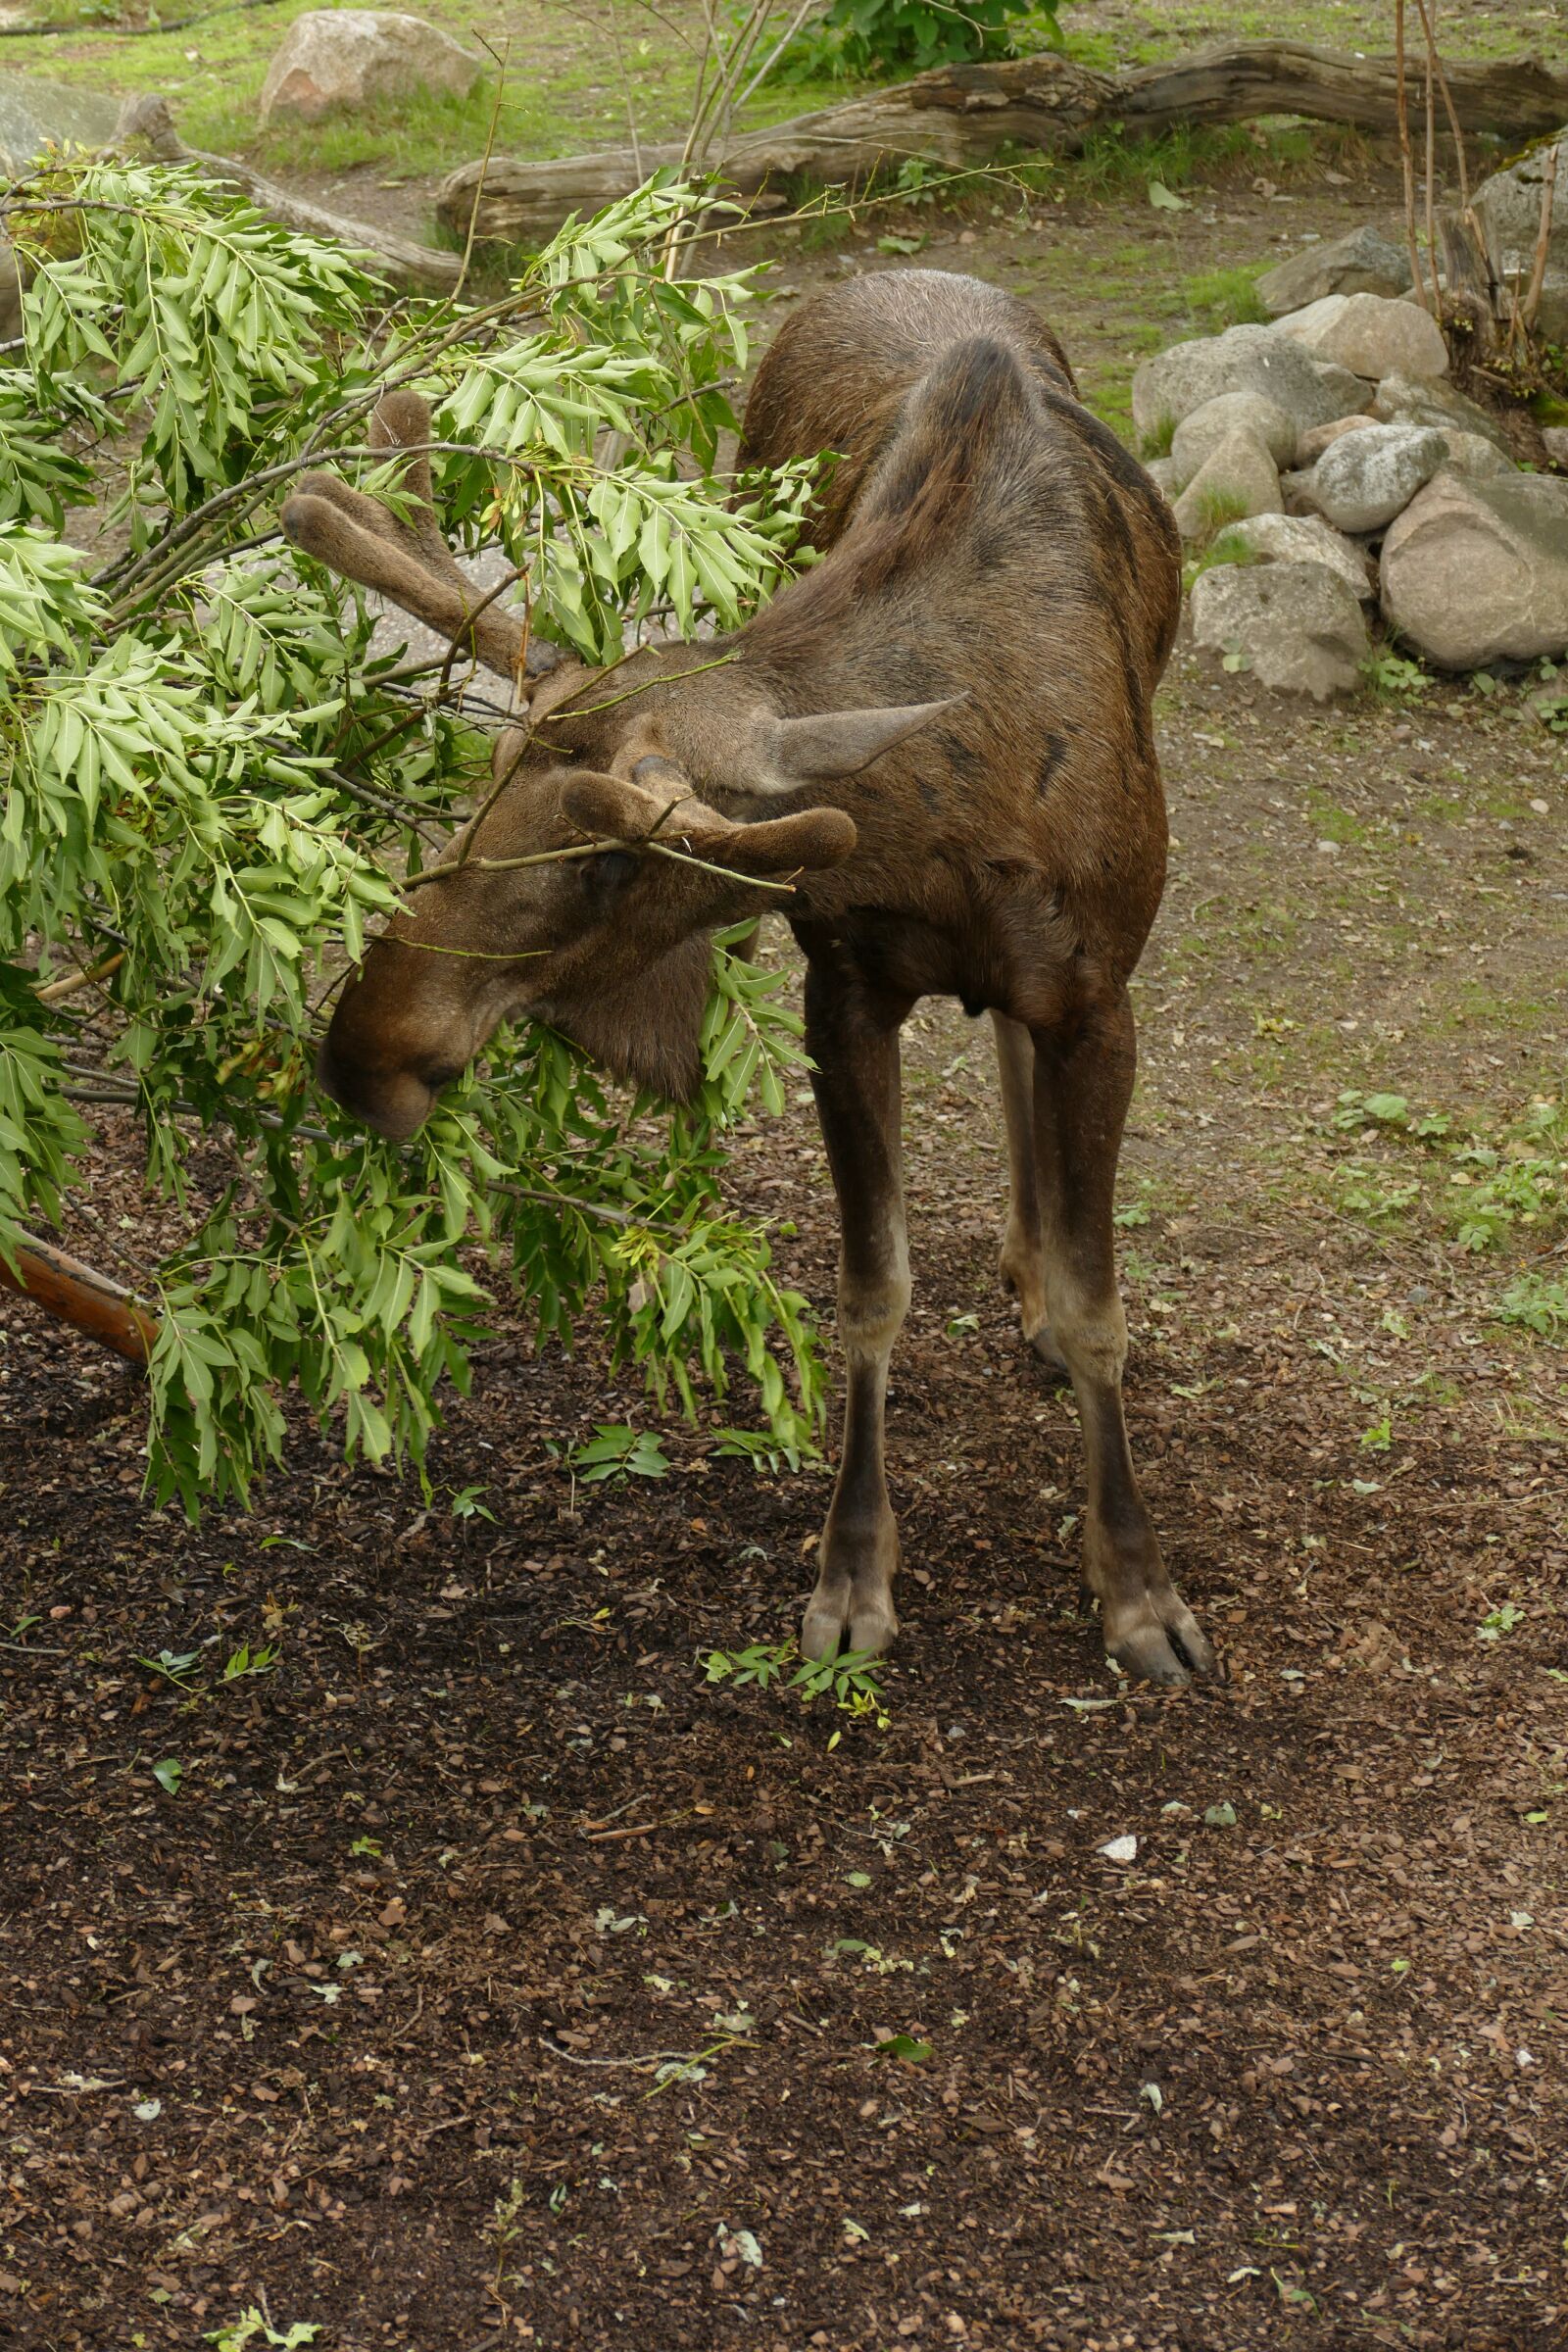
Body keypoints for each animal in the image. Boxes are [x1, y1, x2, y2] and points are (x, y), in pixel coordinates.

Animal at [281, 267, 1215, 1687]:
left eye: (616, 862)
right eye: (483, 782)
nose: (363, 1051)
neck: (951, 836)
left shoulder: (1101, 1001)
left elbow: (1103, 1301)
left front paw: (1139, 1592)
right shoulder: (843, 984)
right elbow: (872, 1291)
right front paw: (851, 1576)